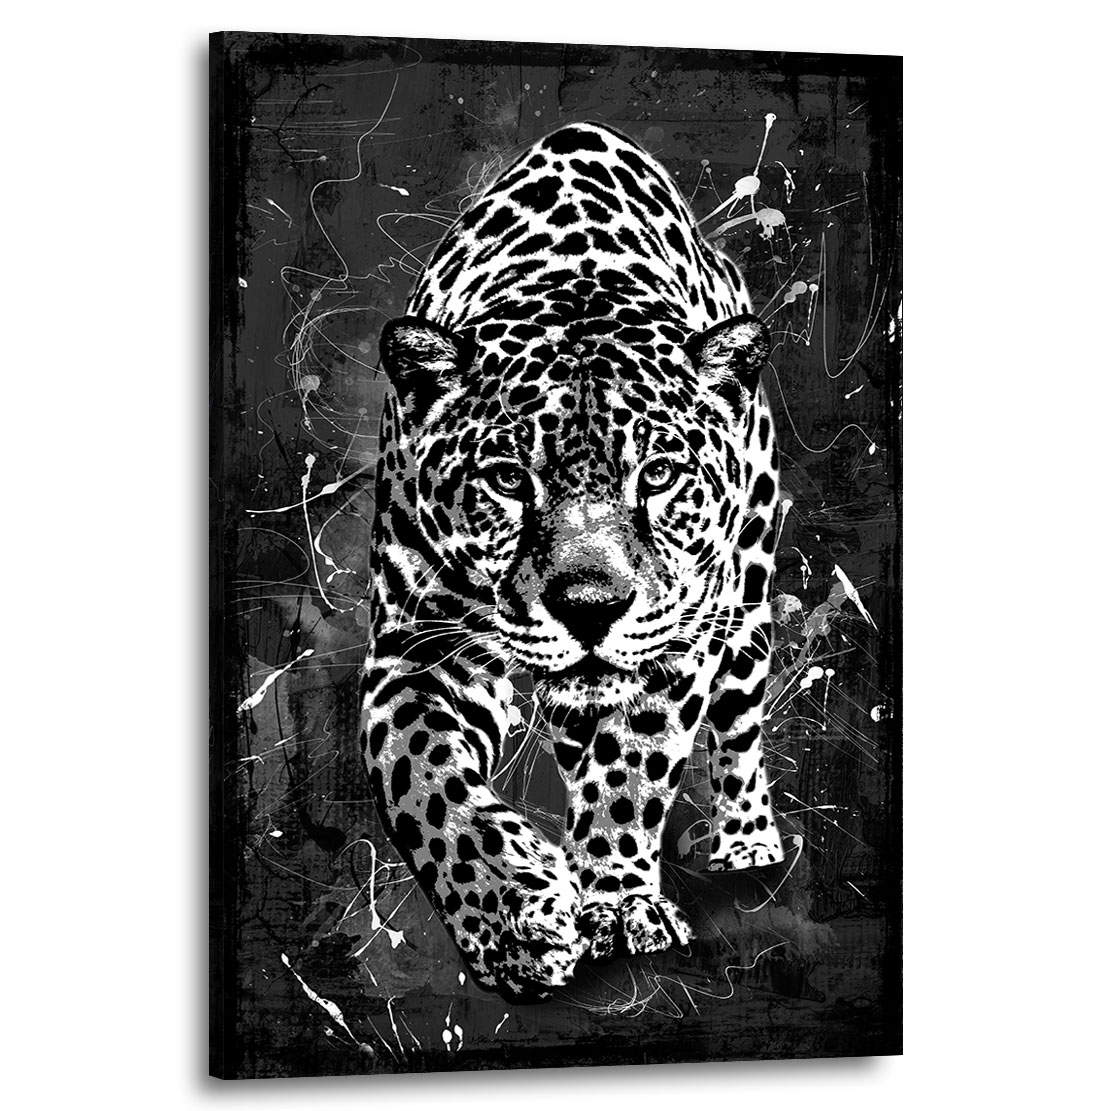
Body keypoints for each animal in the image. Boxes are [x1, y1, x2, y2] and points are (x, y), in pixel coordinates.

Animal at [359, 122, 784, 1002]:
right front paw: (511, 920)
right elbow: (420, 780)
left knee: (738, 729)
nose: (590, 606)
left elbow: (630, 766)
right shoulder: (415, 650)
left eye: (657, 474)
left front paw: (616, 901)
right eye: (506, 478)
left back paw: (748, 843)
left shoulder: (677, 643)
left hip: (747, 608)